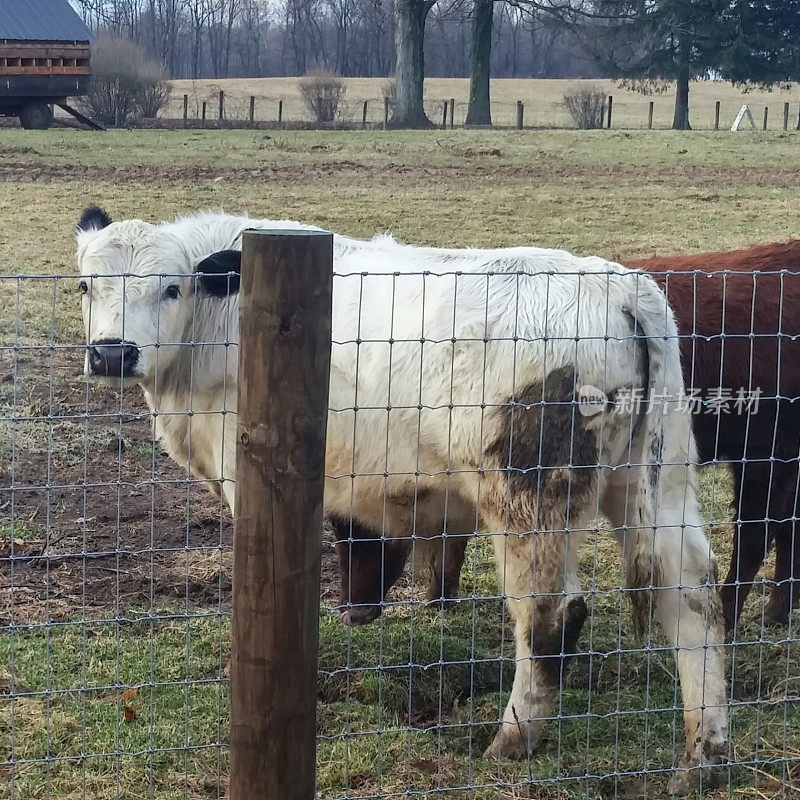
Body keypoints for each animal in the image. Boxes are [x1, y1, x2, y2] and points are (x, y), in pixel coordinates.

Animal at [76, 208, 732, 792]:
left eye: (171, 287)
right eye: (86, 284)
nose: (112, 352)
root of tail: (618, 286)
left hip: (527, 501)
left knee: (550, 618)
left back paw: (512, 740)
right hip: (656, 482)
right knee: (692, 594)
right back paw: (703, 755)